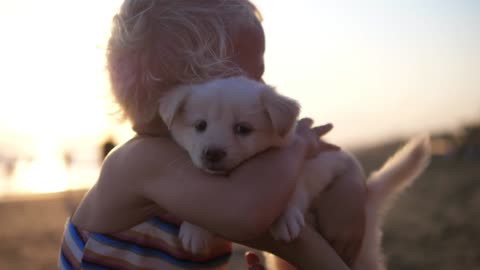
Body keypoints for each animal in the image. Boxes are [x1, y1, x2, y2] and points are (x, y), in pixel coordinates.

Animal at [158, 76, 432, 270]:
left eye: (243, 129)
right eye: (200, 126)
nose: (212, 153)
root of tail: (369, 195)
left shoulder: (303, 167)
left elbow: (293, 189)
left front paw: (285, 217)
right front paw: (193, 229)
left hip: (363, 254)